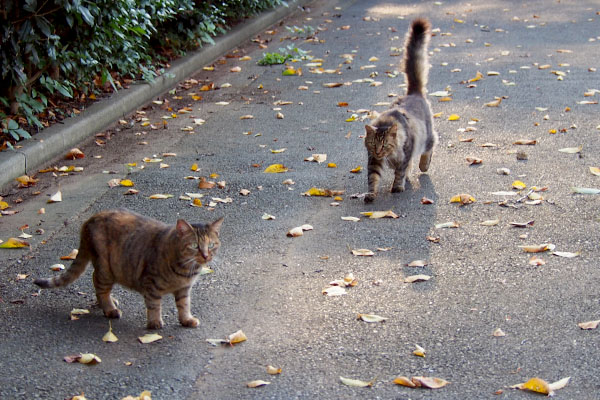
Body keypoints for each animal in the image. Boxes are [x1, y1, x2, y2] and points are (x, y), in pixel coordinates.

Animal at [34, 208, 223, 330]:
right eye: (194, 246)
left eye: (211, 245)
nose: (206, 256)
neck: (186, 270)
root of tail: (89, 220)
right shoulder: (151, 283)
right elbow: (154, 305)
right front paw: (154, 323)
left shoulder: (184, 289)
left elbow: (184, 305)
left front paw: (186, 320)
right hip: (106, 268)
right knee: (99, 285)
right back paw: (109, 308)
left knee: (96, 282)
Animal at [366, 16, 436, 202]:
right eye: (372, 144)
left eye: (384, 145)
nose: (378, 151)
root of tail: (413, 92)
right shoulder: (373, 161)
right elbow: (373, 179)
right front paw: (370, 194)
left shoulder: (405, 154)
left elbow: (399, 172)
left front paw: (397, 187)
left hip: (427, 137)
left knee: (430, 147)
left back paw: (424, 165)